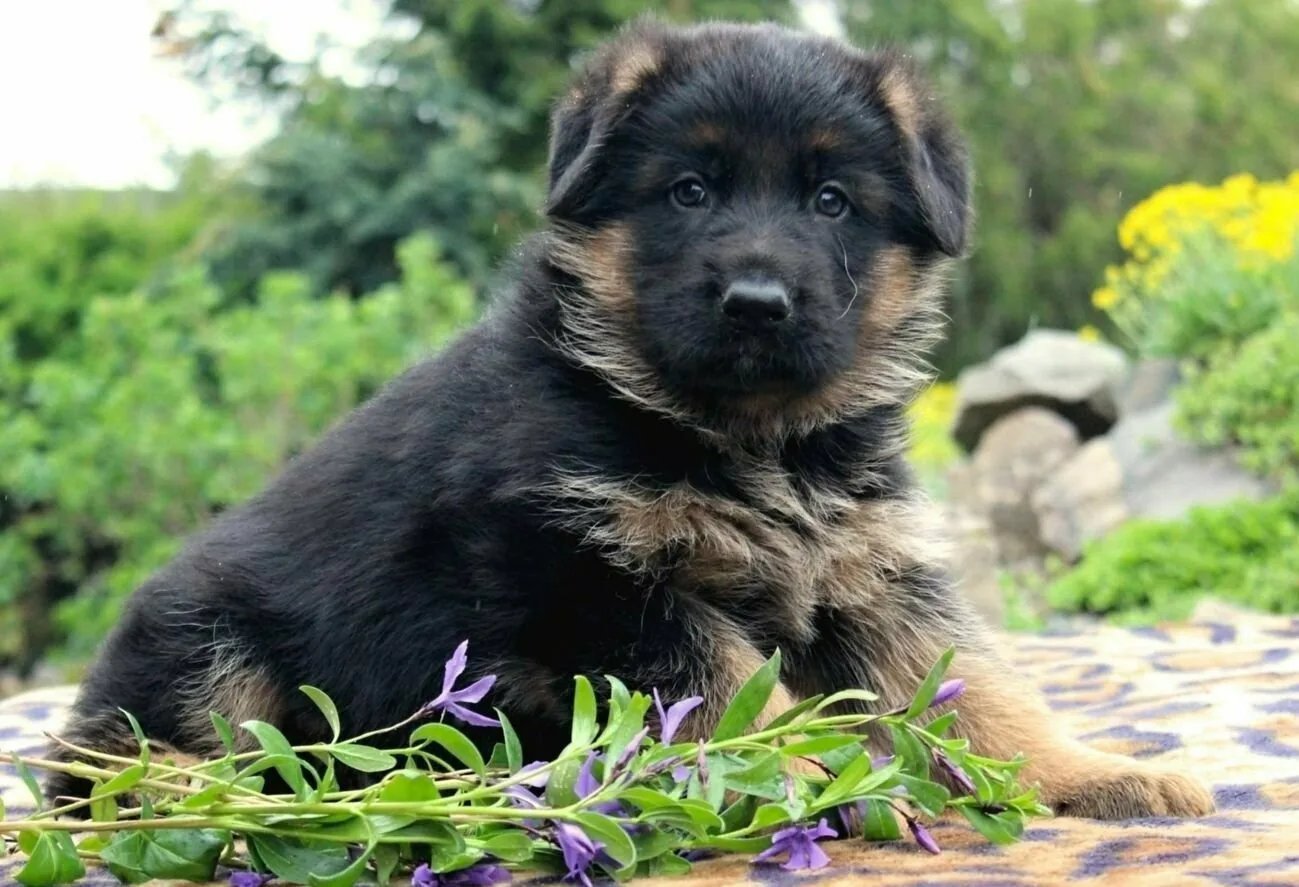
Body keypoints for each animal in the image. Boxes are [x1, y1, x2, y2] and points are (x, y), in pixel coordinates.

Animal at [48, 20, 1205, 820]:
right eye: (688, 190)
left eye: (832, 201)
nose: (756, 301)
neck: (742, 435)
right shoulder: (592, 582)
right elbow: (733, 691)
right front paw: (812, 775)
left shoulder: (870, 576)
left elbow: (977, 685)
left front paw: (1090, 770)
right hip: (205, 636)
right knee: (104, 762)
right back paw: (198, 795)